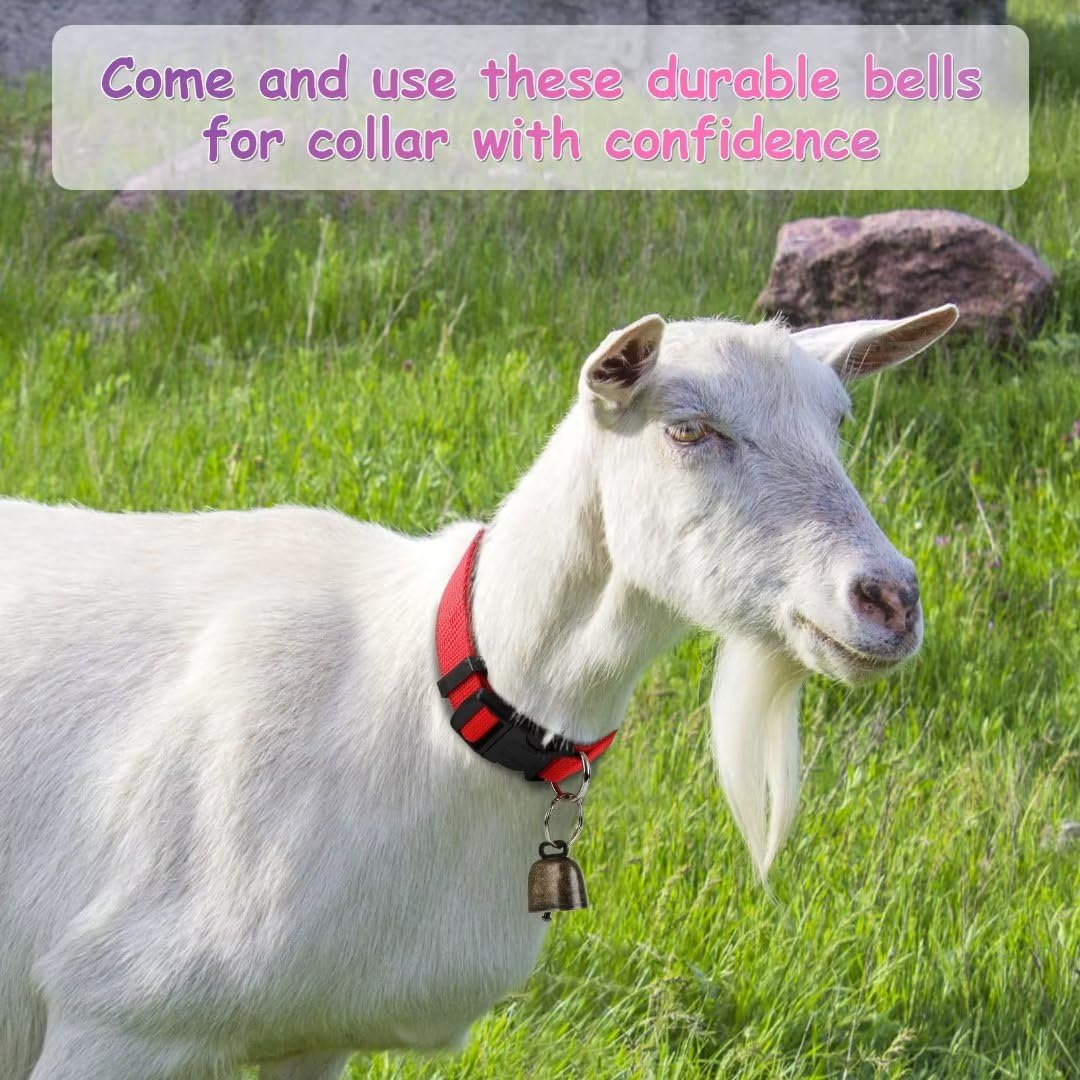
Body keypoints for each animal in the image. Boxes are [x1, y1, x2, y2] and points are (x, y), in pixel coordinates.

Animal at [0, 304, 957, 1078]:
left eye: (838, 422)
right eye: (688, 430)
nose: (889, 598)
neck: (421, 697)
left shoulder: (313, 1032)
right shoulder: (116, 1012)